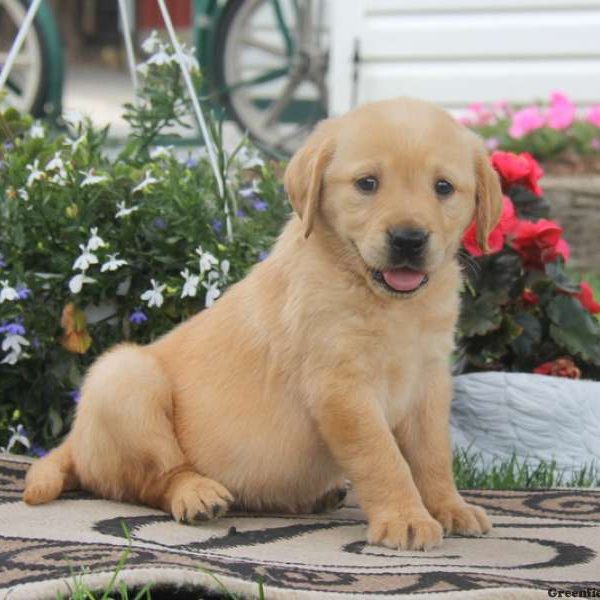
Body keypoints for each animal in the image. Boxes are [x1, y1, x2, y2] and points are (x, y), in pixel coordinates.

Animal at [23, 96, 502, 552]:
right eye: (367, 183)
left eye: (443, 187)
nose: (408, 239)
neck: (388, 303)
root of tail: (75, 440)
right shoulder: (342, 387)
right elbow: (383, 456)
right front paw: (406, 518)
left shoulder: (429, 381)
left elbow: (432, 454)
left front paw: (449, 507)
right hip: (124, 378)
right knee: (154, 478)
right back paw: (195, 493)